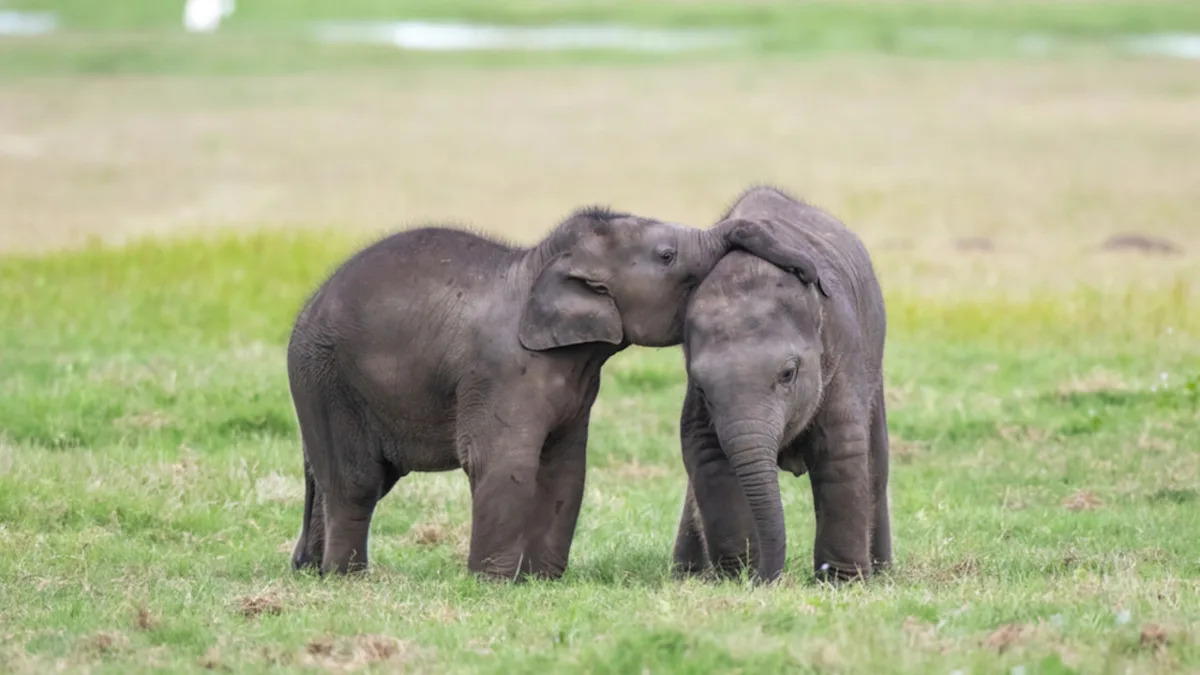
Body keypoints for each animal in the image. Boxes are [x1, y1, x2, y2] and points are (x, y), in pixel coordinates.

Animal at [286, 205, 822, 579]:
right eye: (667, 255)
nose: (810, 274)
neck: (539, 265)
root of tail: (306, 307)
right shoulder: (500, 370)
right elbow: (504, 463)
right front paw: (491, 584)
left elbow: (566, 468)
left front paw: (541, 581)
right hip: (326, 379)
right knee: (357, 482)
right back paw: (348, 577)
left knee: (332, 475)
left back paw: (310, 569)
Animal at [672, 186, 891, 583]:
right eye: (702, 387)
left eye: (788, 374)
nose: (764, 579)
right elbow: (705, 451)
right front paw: (736, 574)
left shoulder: (842, 353)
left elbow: (841, 449)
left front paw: (841, 583)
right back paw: (687, 573)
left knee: (876, 463)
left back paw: (883, 573)